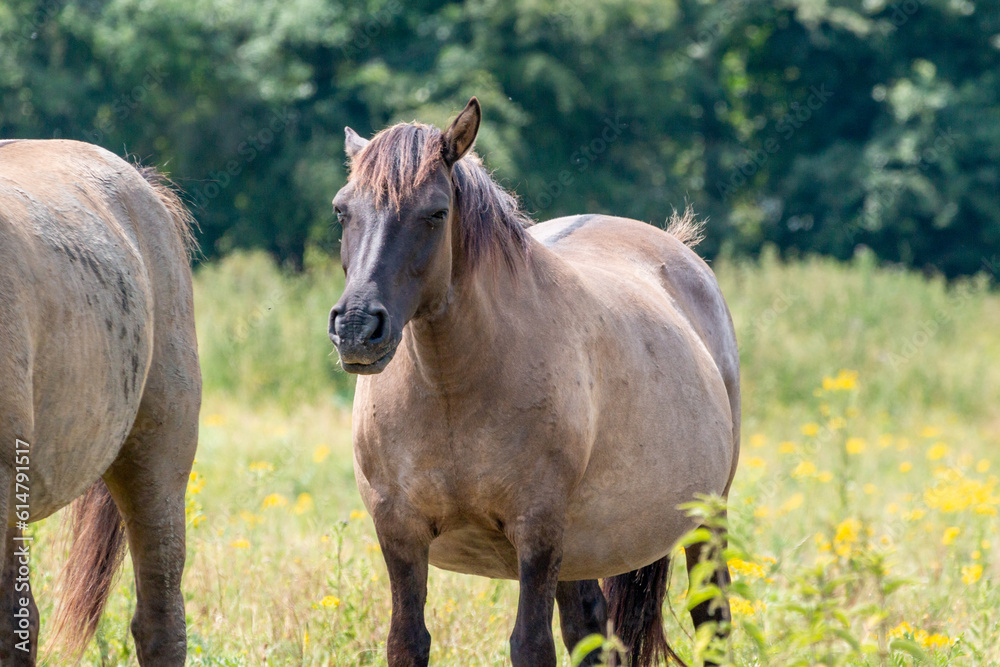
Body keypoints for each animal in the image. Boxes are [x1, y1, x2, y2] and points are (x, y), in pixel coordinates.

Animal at [330, 100, 744, 667]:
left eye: (436, 213)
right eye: (342, 210)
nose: (356, 327)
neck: (451, 391)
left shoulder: (539, 533)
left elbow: (530, 645)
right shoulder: (400, 533)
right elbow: (407, 642)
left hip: (706, 519)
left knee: (712, 620)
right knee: (591, 631)